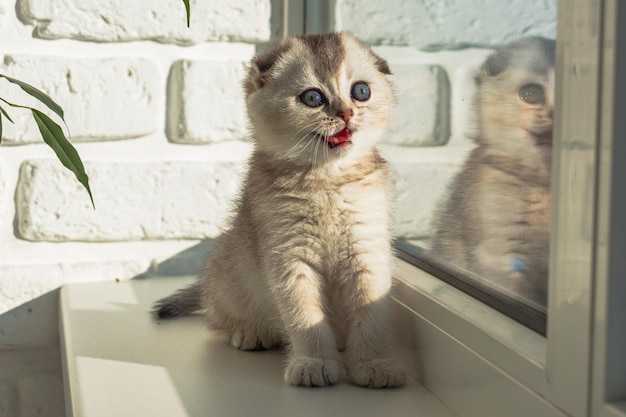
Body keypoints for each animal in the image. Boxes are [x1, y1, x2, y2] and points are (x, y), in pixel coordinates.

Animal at [152, 32, 404, 386]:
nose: (346, 114)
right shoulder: (289, 258)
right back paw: (250, 333)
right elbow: (304, 315)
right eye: (313, 97)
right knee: (219, 319)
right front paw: (313, 362)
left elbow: (371, 315)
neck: (327, 181)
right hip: (228, 280)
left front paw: (373, 364)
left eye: (361, 92)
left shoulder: (367, 252)